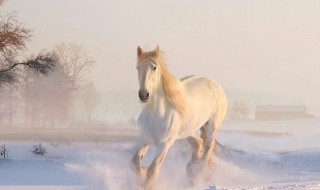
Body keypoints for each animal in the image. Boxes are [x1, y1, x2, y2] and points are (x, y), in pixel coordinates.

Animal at [130, 45, 228, 189]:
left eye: (154, 67)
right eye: (138, 67)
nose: (144, 95)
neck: (155, 114)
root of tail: (216, 85)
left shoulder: (164, 145)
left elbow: (152, 171)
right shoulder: (143, 140)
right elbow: (134, 164)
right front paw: (141, 174)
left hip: (212, 127)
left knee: (208, 147)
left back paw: (199, 172)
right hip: (188, 131)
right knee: (198, 143)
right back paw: (192, 170)